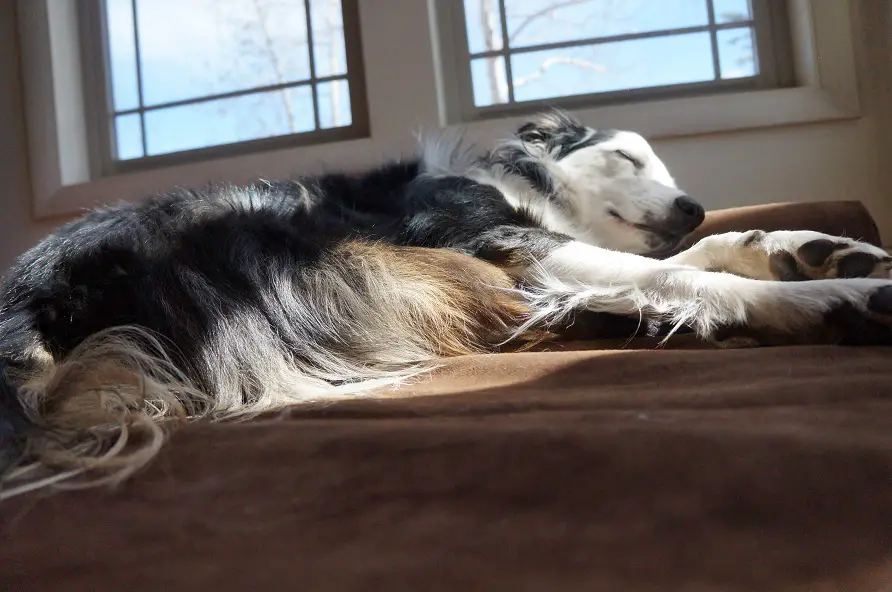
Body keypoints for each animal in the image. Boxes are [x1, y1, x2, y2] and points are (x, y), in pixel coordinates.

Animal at [1, 108, 892, 498]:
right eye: (632, 159)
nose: (691, 205)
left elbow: (698, 257)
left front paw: (812, 247)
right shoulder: (497, 238)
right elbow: (686, 275)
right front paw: (831, 284)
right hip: (296, 246)